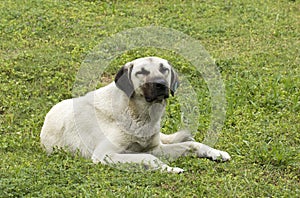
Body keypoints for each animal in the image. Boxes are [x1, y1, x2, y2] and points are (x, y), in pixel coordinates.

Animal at [40, 56, 230, 172]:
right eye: (142, 72)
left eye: (164, 69)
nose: (161, 84)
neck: (139, 114)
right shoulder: (104, 154)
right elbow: (148, 157)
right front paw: (169, 168)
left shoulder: (155, 147)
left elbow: (193, 145)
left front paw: (215, 152)